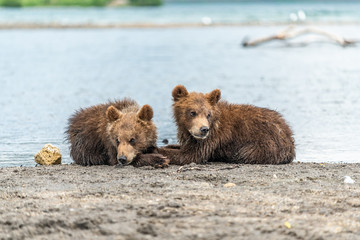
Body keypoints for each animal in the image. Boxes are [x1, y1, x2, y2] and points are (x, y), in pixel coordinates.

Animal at [160, 86, 296, 165]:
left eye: (208, 114)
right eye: (192, 112)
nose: (204, 129)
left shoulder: (214, 137)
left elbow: (189, 156)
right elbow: (183, 147)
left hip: (265, 144)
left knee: (244, 153)